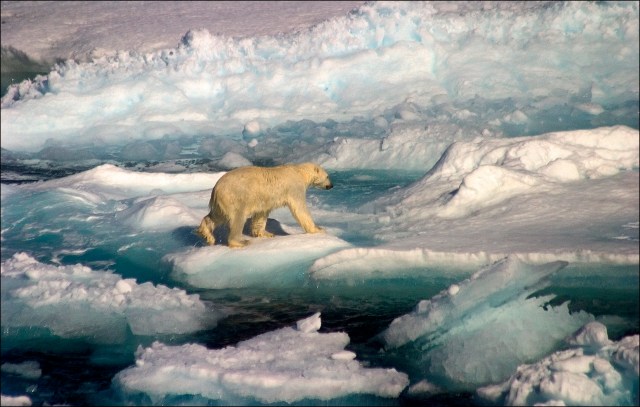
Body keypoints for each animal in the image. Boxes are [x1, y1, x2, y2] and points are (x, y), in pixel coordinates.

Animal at [197, 162, 333, 248]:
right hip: (236, 196)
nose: (331, 186)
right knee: (238, 218)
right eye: (327, 176)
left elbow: (261, 214)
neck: (299, 172)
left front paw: (266, 233)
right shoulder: (294, 188)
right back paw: (240, 242)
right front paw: (318, 229)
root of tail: (216, 188)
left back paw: (207, 234)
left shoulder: (263, 200)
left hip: (223, 202)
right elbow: (300, 209)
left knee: (216, 216)